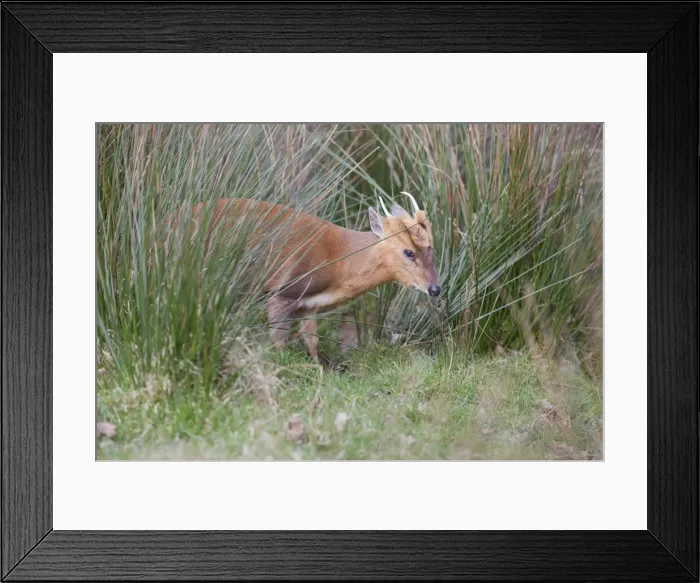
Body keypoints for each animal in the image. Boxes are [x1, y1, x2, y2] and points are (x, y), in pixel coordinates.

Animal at [166, 192, 441, 364]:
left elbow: (312, 341)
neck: (337, 261)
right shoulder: (282, 291)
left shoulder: (309, 305)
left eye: (432, 248)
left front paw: (321, 372)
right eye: (408, 251)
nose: (435, 289)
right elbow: (279, 341)